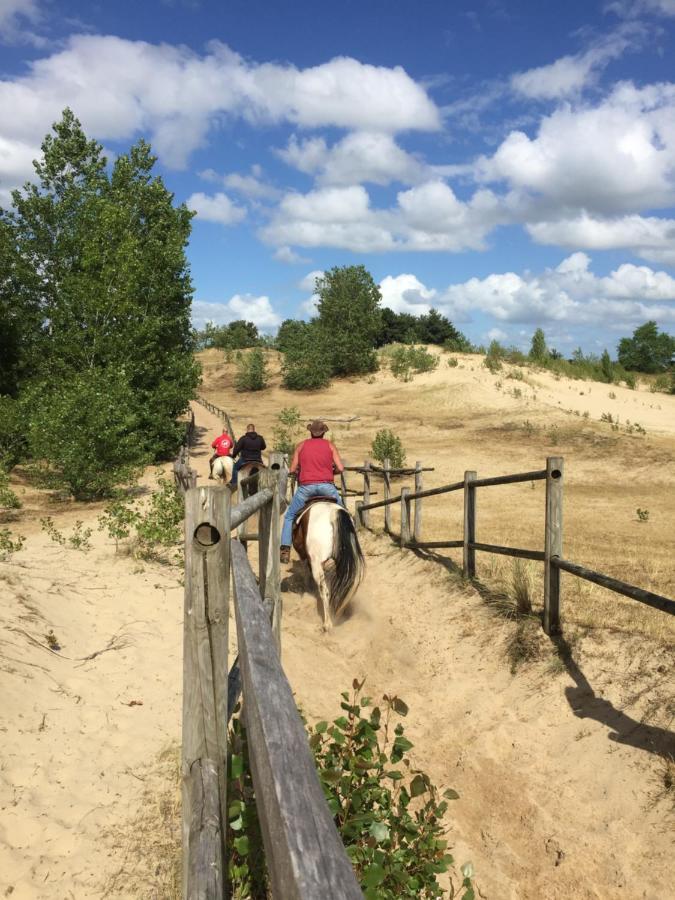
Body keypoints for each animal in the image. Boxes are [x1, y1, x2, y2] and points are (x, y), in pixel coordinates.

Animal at [290, 500, 364, 632]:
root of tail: (333, 512)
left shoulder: (305, 557)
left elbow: (305, 573)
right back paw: (339, 612)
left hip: (317, 564)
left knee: (325, 591)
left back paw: (327, 624)